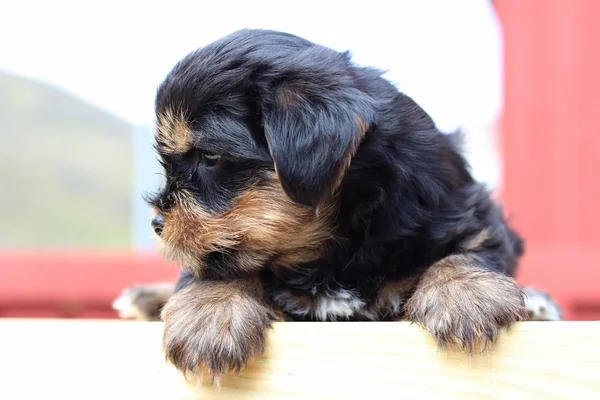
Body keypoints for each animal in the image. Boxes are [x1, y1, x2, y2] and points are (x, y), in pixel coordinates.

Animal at [145, 28, 528, 384]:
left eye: (210, 158)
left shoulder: (460, 207)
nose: (158, 224)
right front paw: (209, 312)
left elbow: (471, 244)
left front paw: (466, 293)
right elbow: (215, 267)